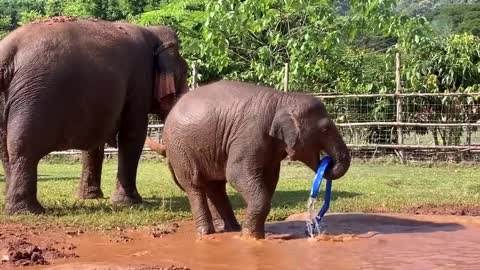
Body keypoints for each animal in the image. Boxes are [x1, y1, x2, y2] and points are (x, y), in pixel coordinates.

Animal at [0, 16, 188, 215]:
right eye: (185, 72)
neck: (152, 32)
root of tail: (6, 50)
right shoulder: (139, 82)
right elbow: (133, 135)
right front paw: (130, 202)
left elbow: (95, 141)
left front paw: (90, 197)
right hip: (34, 98)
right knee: (22, 148)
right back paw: (28, 211)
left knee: (5, 150)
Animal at [148, 79, 350, 238]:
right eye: (325, 129)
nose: (328, 162)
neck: (283, 99)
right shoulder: (250, 134)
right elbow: (236, 174)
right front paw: (250, 237)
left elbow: (269, 179)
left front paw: (255, 235)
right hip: (181, 150)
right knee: (195, 185)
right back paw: (206, 232)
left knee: (215, 186)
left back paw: (232, 229)